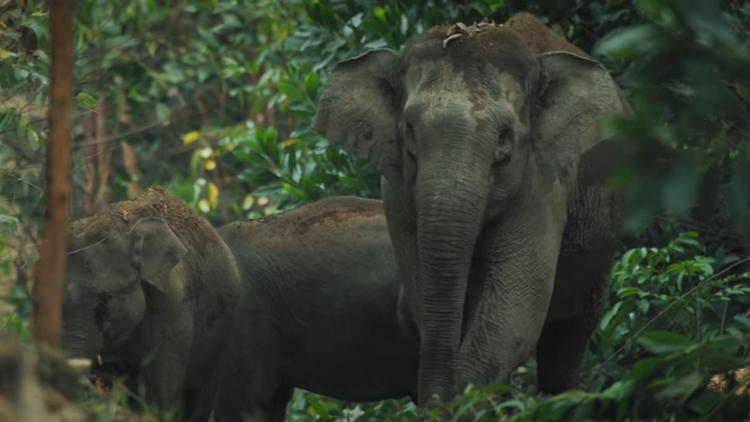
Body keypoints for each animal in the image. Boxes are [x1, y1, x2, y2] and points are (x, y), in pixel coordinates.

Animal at [314, 11, 632, 404]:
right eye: (410, 130)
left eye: (505, 136)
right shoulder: (397, 193)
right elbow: (422, 289)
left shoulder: (542, 185)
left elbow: (517, 308)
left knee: (571, 329)